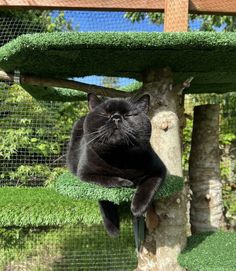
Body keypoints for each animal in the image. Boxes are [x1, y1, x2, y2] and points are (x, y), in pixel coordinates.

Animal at [66, 94, 166, 237]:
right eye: (105, 114)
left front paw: (138, 208)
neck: (119, 157)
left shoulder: (159, 170)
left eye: (128, 115)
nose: (116, 117)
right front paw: (126, 182)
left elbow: (147, 187)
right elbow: (107, 180)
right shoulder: (85, 174)